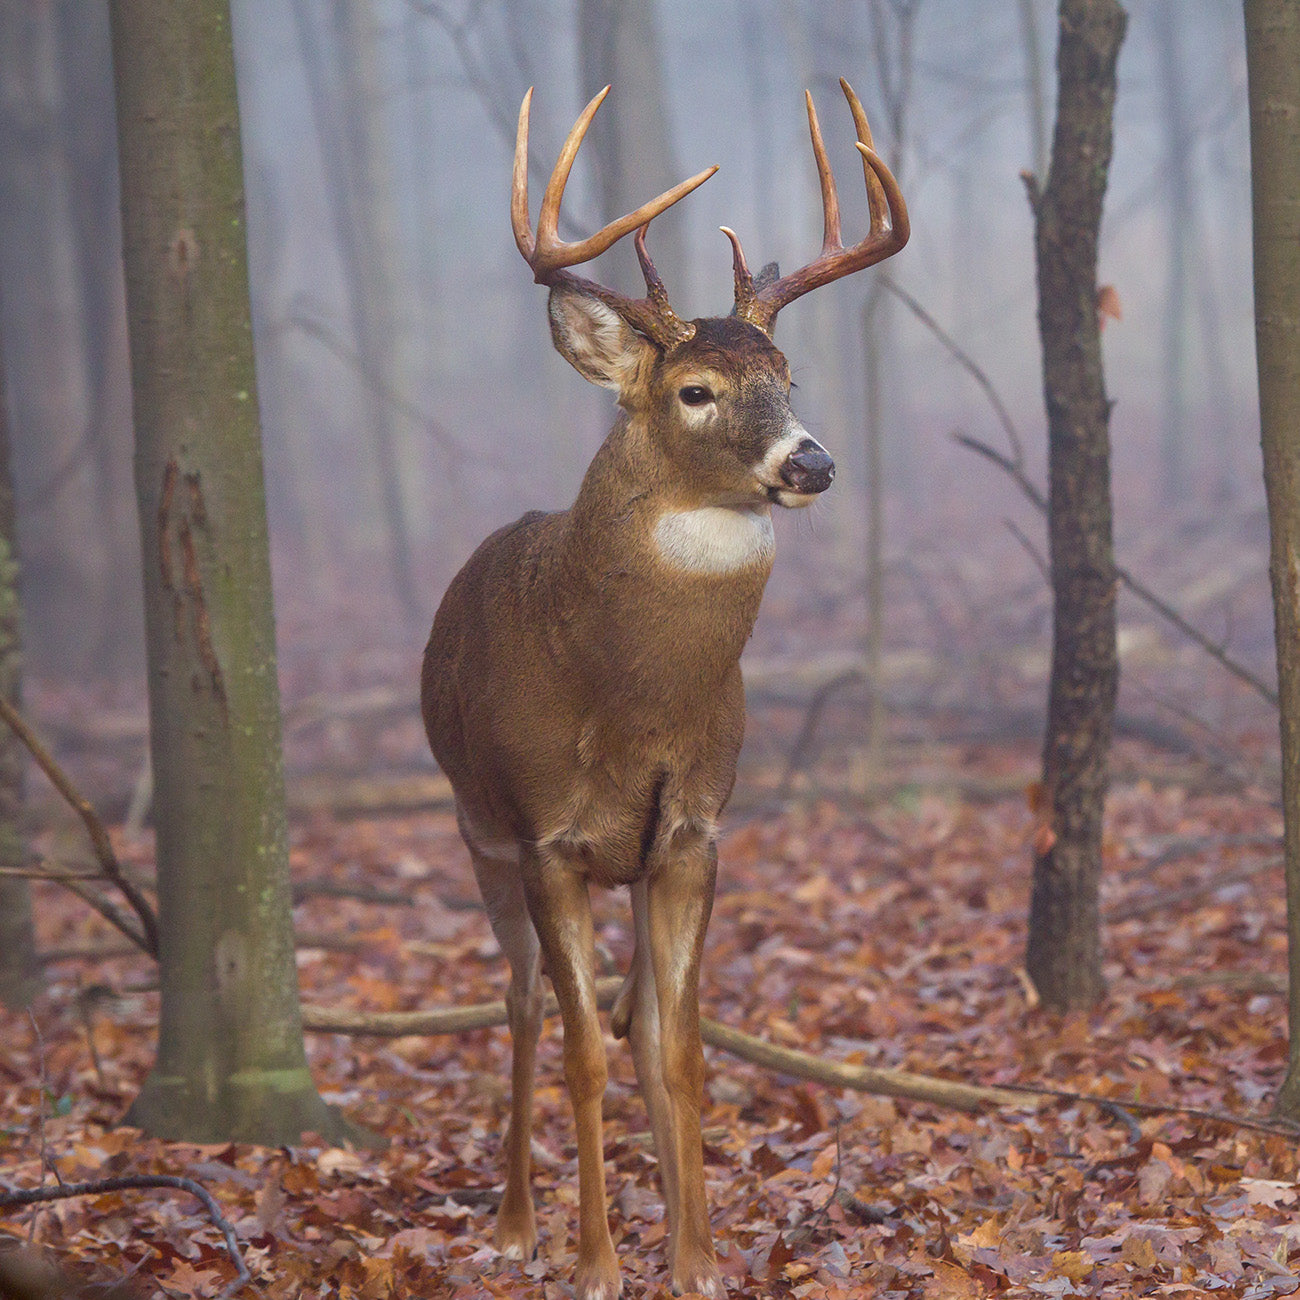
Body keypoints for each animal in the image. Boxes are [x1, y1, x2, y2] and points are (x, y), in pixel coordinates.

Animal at [421, 79, 907, 1300]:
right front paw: (595, 1262)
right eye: (695, 390)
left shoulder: (690, 831)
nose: (810, 462)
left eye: (789, 379)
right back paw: (515, 1225)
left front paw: (696, 1260)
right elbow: (585, 1050)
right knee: (523, 1005)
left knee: (635, 1016)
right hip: (474, 827)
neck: (627, 696)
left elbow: (674, 1046)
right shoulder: (546, 835)